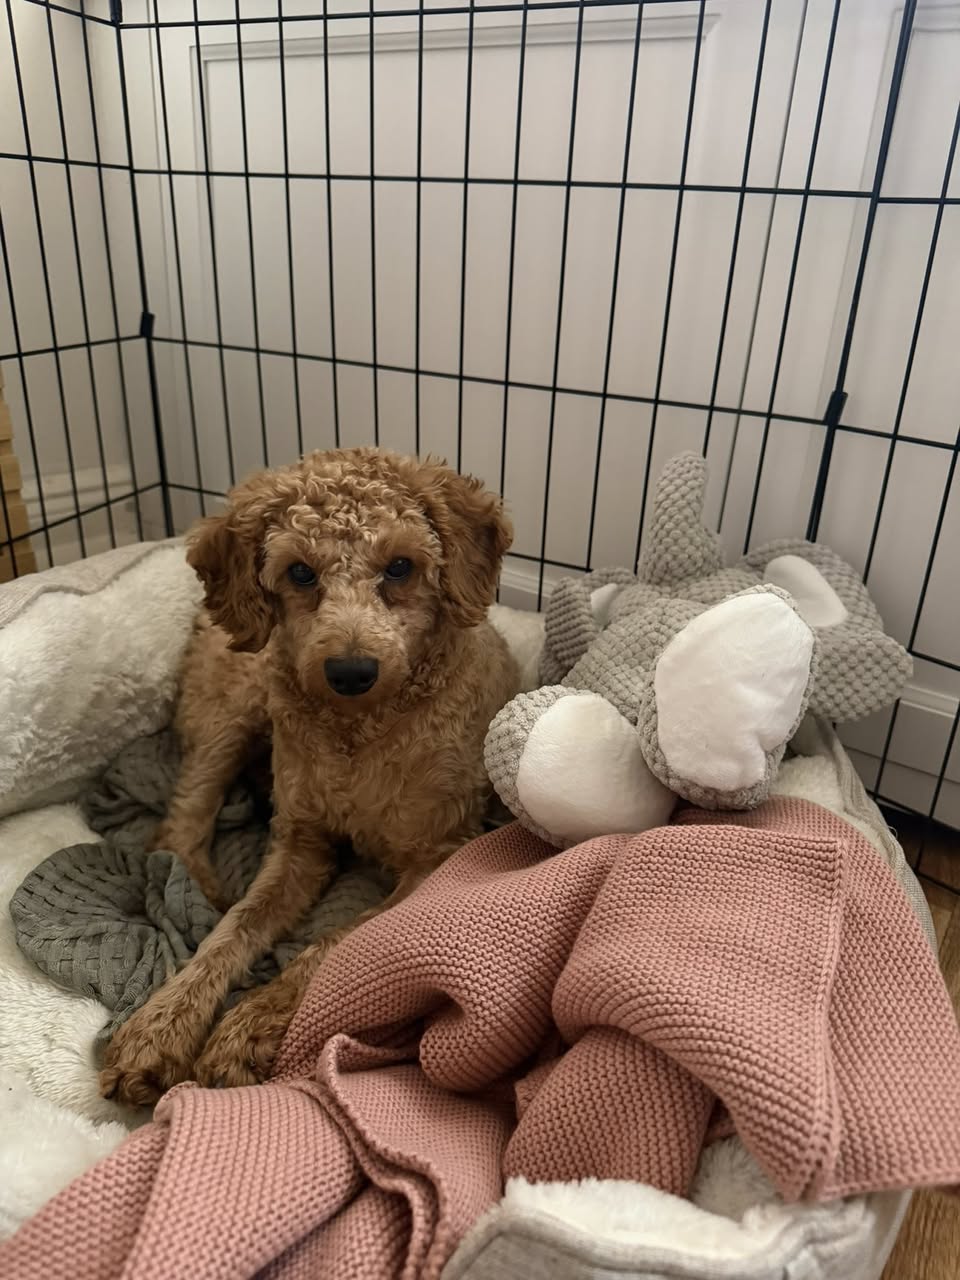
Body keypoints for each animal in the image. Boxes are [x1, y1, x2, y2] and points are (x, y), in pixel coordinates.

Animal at [100, 448, 518, 1106]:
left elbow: (333, 943)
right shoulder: (300, 842)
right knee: (181, 820)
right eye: (299, 572)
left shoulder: (435, 857)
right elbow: (234, 929)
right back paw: (196, 886)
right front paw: (160, 1025)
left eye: (401, 566)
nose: (350, 670)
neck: (359, 733)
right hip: (236, 707)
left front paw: (248, 1025)